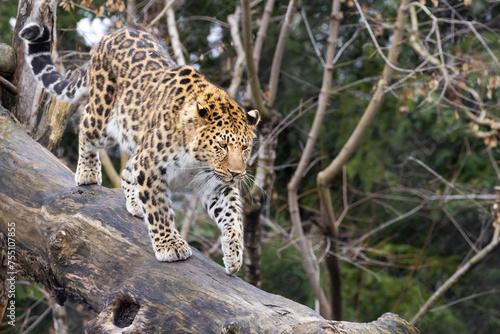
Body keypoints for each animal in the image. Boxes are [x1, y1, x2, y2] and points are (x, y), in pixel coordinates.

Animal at [19, 22, 260, 274]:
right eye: (223, 145)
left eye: (245, 148)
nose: (237, 173)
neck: (198, 159)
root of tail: (112, 34)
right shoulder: (151, 166)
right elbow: (159, 209)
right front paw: (170, 245)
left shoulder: (214, 183)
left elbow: (233, 216)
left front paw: (234, 254)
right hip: (102, 119)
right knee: (85, 125)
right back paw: (88, 172)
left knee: (127, 170)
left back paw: (134, 201)